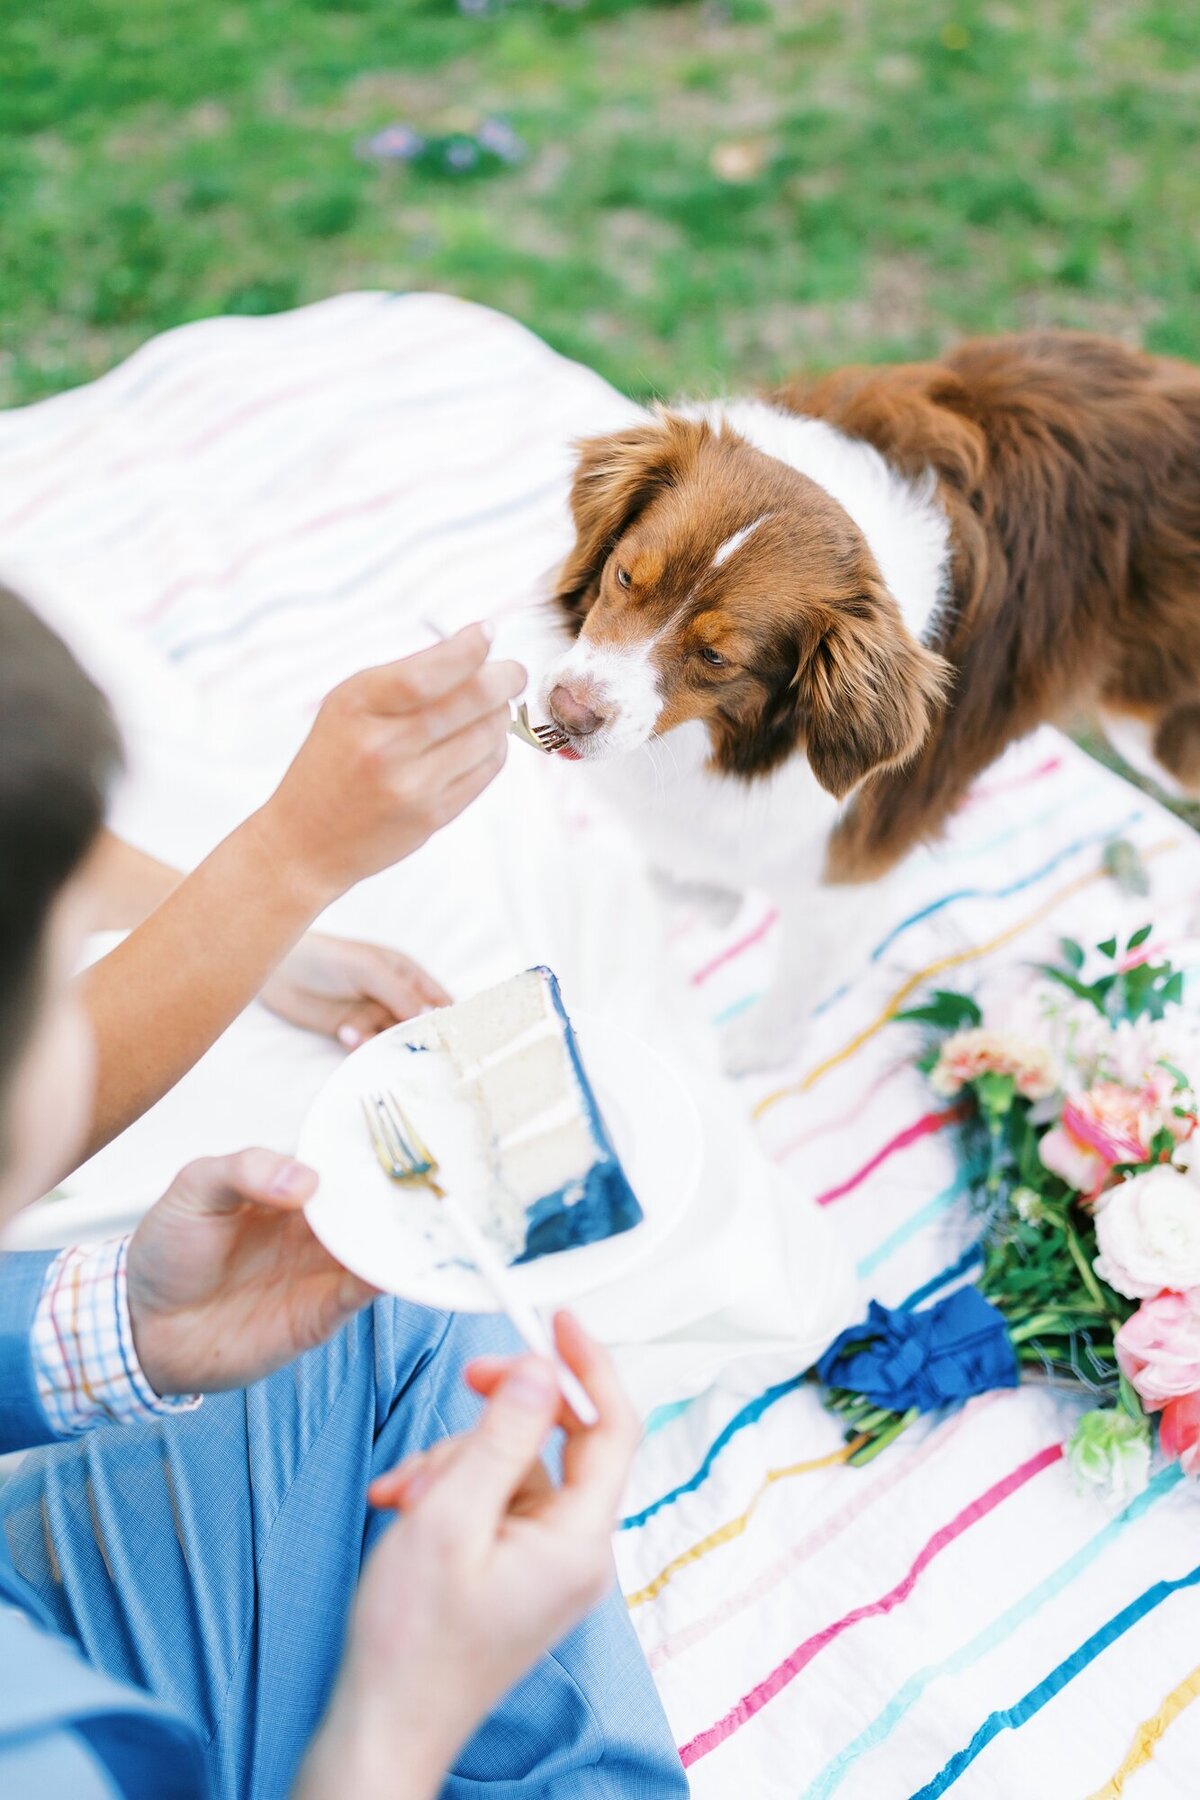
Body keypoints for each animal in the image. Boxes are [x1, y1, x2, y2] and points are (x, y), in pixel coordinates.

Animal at [543, 334, 1200, 1065]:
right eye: (626, 576)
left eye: (717, 658)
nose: (566, 714)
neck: (733, 744)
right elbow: (678, 867)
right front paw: (707, 900)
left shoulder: (848, 862)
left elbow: (799, 967)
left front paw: (753, 1052)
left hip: (1155, 735)